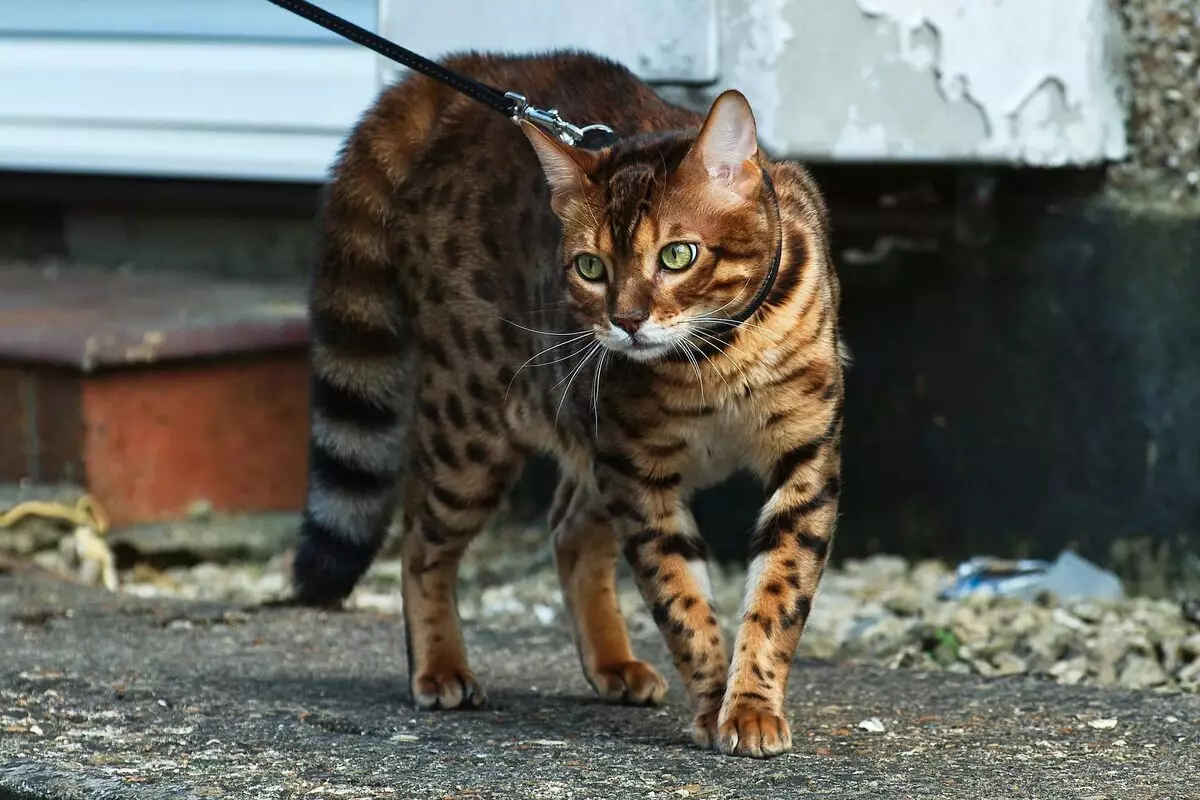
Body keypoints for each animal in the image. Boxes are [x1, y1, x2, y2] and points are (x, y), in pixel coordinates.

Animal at [294, 51, 844, 758]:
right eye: (590, 267)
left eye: (678, 254)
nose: (626, 321)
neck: (717, 360)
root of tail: (473, 76)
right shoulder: (637, 470)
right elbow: (680, 598)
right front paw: (713, 702)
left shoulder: (805, 458)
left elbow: (778, 593)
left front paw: (748, 703)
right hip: (474, 425)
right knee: (421, 538)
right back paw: (439, 665)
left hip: (581, 434)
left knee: (570, 527)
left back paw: (612, 662)